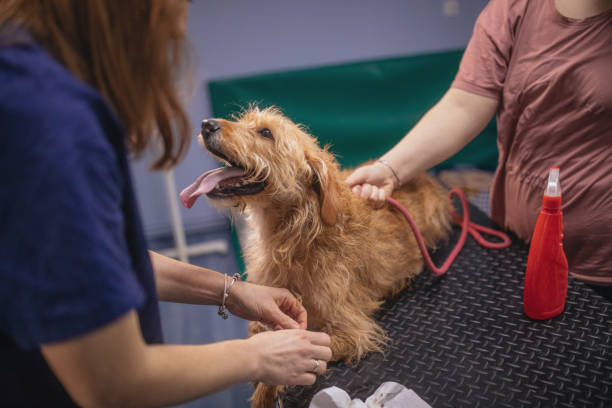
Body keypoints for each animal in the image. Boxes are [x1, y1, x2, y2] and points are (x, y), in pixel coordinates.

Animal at [179, 107, 452, 406]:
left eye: (266, 133)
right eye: (244, 120)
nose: (207, 124)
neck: (294, 239)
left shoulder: (353, 331)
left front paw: (265, 390)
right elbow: (258, 329)